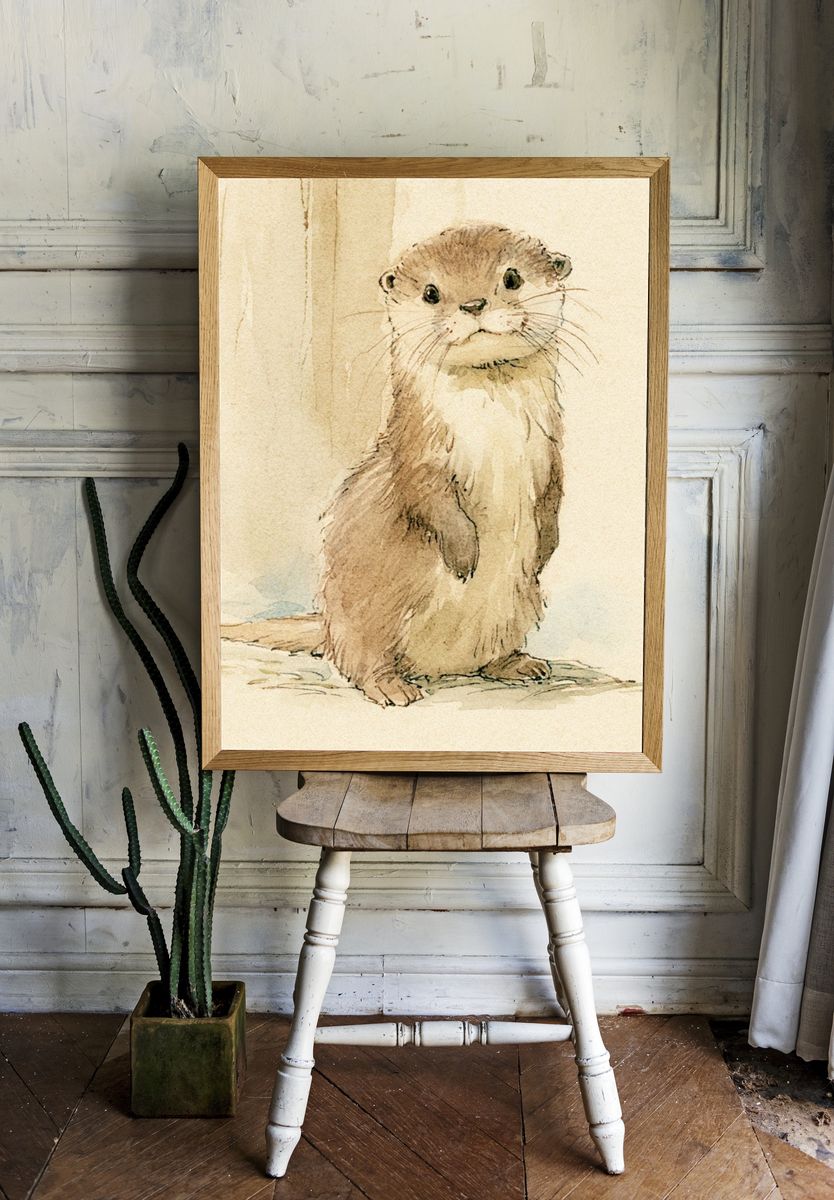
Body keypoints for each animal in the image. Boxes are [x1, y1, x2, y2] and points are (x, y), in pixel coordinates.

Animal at [223, 222, 575, 707]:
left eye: (511, 278)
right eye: (430, 292)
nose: (473, 304)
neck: (491, 423)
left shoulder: (549, 446)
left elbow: (553, 493)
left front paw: (545, 547)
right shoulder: (418, 448)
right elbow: (425, 493)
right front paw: (464, 554)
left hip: (521, 606)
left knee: (491, 654)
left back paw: (520, 664)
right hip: (370, 612)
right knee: (360, 659)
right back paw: (392, 686)